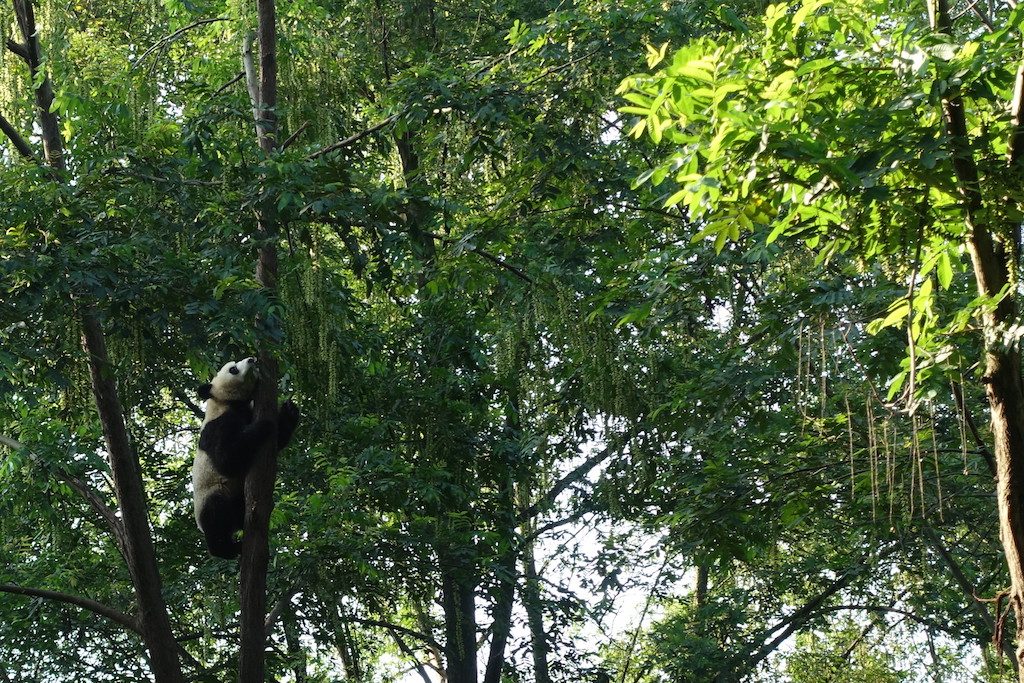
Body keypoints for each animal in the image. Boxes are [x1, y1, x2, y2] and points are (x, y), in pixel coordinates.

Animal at [192, 356, 299, 557]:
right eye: (233, 369)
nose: (251, 359)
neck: (227, 403)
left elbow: (279, 439)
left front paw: (290, 410)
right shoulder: (217, 427)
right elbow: (227, 460)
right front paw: (263, 424)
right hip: (211, 495)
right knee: (216, 513)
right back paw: (228, 549)